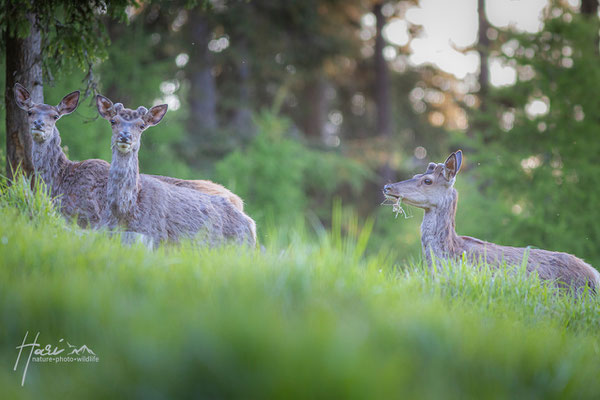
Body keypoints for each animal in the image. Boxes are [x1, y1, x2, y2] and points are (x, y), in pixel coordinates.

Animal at [15, 83, 247, 228]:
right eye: (30, 112)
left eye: (55, 116)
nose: (38, 124)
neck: (61, 179)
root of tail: (239, 201)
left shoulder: (90, 216)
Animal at [97, 95, 256, 248]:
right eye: (113, 121)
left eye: (141, 125)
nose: (125, 136)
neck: (124, 211)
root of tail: (251, 223)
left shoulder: (156, 235)